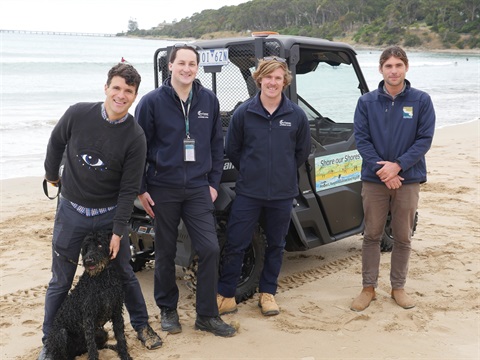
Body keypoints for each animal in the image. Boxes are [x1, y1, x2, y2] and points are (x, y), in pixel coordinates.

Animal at [44, 231, 131, 360]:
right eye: (86, 248)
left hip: (101, 332)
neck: (103, 278)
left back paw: (112, 347)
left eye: (99, 245)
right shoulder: (88, 317)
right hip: (61, 335)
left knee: (101, 346)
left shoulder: (117, 312)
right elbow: (92, 346)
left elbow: (121, 338)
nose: (88, 261)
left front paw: (125, 355)